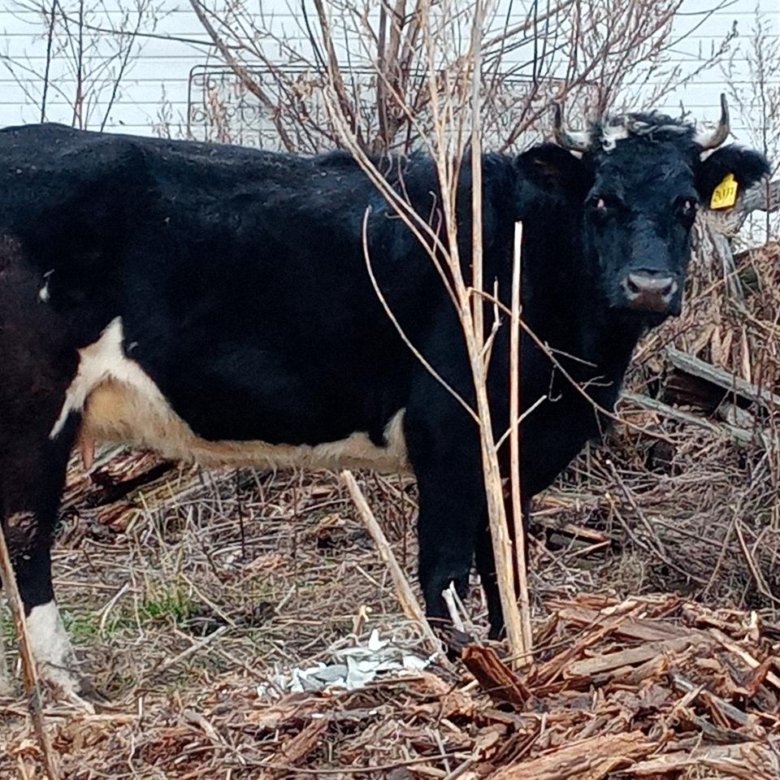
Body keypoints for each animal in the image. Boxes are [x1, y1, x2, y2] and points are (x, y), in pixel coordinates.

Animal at [0, 100, 768, 692]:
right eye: (601, 199)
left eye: (687, 204)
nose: (649, 286)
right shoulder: (450, 431)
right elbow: (446, 567)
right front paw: (466, 665)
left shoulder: (518, 452)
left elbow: (506, 558)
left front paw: (513, 647)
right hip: (35, 407)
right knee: (26, 536)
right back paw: (66, 686)